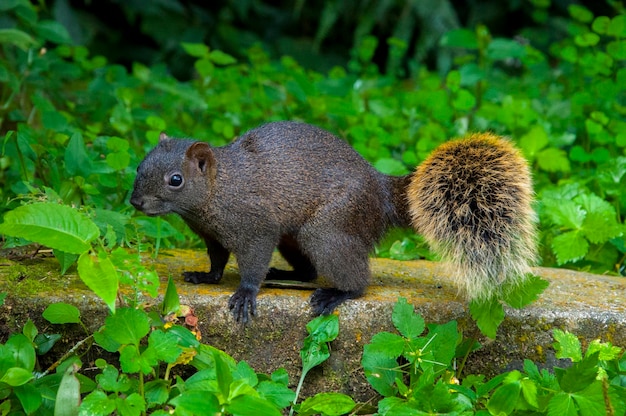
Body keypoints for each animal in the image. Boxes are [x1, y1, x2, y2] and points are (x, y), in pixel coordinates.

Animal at [129, 120, 532, 322]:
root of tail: (381, 195)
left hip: (326, 232)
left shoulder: (256, 226)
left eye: (176, 180)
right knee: (307, 271)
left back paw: (335, 294)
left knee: (357, 280)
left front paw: (245, 294)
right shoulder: (211, 235)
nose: (135, 201)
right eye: (139, 165)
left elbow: (253, 261)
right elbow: (216, 260)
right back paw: (286, 275)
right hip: (295, 239)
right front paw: (205, 277)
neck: (218, 190)